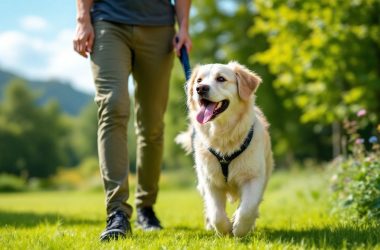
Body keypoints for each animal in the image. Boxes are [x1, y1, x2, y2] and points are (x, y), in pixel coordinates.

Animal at [175, 61, 274, 237]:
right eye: (199, 80)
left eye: (221, 78)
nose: (200, 89)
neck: (223, 136)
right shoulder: (210, 181)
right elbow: (216, 214)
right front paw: (225, 230)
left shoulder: (253, 177)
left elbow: (248, 209)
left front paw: (240, 228)